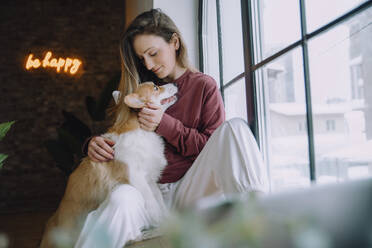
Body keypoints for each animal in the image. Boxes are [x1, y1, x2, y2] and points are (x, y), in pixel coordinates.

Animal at [41, 82, 179, 247]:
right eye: (156, 88)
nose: (175, 83)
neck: (140, 129)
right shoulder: (136, 177)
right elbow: (152, 202)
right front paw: (157, 219)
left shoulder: (150, 180)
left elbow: (159, 200)